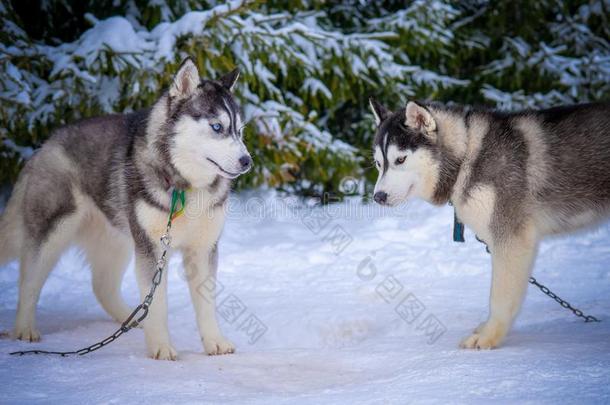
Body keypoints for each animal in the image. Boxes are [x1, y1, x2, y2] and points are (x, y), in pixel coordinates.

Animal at [0, 56, 252, 360]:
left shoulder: (203, 248)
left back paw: (130, 320)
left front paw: (214, 341)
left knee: (102, 285)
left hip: (118, 239)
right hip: (52, 232)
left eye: (239, 131)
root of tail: (46, 144)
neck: (184, 186)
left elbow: (206, 303)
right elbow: (157, 303)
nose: (247, 161)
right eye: (217, 127)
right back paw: (24, 329)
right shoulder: (152, 247)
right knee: (28, 283)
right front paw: (161, 347)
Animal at [366, 97, 608, 348]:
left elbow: (499, 297)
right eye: (378, 164)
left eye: (400, 159)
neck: (466, 157)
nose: (378, 196)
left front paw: (488, 336)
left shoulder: (511, 238)